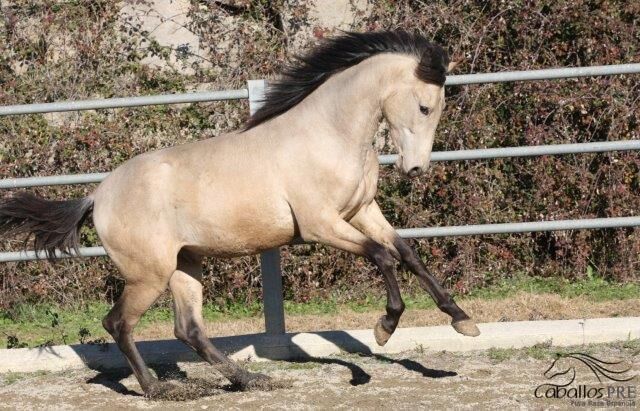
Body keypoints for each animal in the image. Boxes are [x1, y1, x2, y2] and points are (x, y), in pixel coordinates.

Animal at [0, 31, 480, 400]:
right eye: (424, 107)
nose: (415, 169)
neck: (328, 133)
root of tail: (97, 196)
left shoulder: (362, 211)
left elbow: (407, 253)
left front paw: (462, 320)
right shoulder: (321, 225)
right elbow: (382, 256)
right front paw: (384, 327)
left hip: (185, 266)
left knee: (188, 330)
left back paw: (251, 379)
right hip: (148, 274)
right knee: (118, 323)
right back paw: (161, 390)